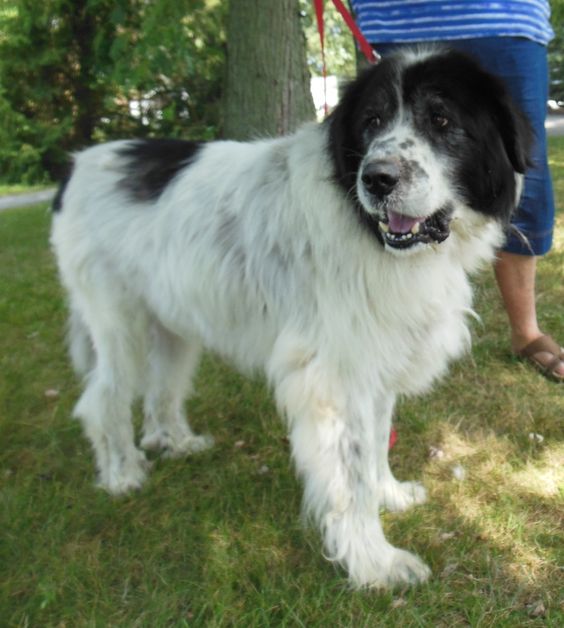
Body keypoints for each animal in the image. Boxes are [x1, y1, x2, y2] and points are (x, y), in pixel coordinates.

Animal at [51, 47, 532, 588]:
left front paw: (389, 496)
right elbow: (352, 471)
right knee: (103, 400)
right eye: (371, 121)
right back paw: (122, 474)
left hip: (172, 323)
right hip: (120, 325)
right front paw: (375, 563)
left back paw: (176, 441)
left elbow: (376, 446)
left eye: (441, 119)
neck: (363, 227)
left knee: (162, 389)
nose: (377, 178)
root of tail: (76, 165)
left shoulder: (374, 361)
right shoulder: (335, 379)